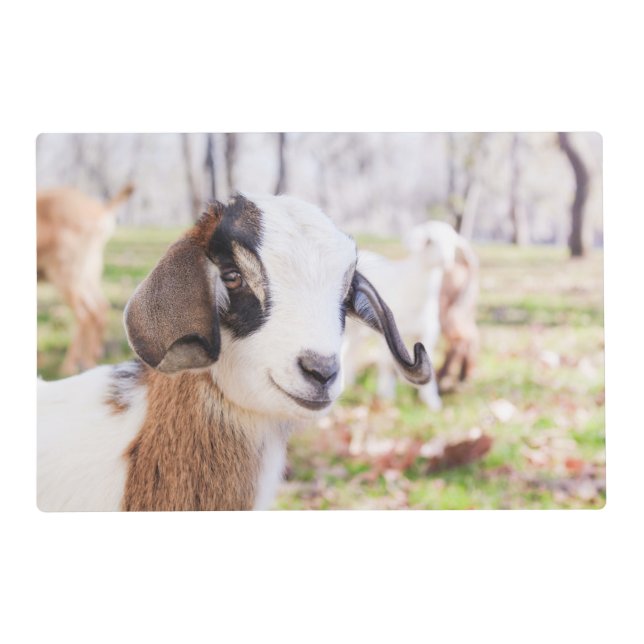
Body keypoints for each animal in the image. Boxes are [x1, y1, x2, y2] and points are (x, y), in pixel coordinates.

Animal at [37, 183, 135, 375]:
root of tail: (101, 211)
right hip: (88, 271)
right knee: (100, 307)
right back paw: (91, 358)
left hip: (66, 272)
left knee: (84, 314)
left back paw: (69, 366)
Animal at [342, 220, 478, 409]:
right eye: (429, 241)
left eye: (452, 243)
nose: (447, 260)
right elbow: (387, 363)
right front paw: (386, 394)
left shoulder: (428, 331)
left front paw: (431, 400)